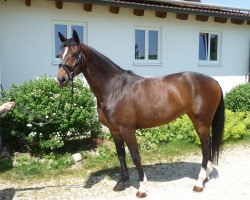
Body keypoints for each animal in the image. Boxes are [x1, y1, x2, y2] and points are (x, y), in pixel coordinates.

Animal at [56, 30, 225, 198]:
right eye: (60, 53)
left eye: (75, 53)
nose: (61, 79)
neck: (114, 88)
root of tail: (214, 82)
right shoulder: (114, 130)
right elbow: (121, 154)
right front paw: (122, 182)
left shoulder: (127, 129)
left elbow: (135, 156)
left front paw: (142, 188)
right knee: (208, 147)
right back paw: (206, 176)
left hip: (201, 122)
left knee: (205, 148)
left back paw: (199, 183)